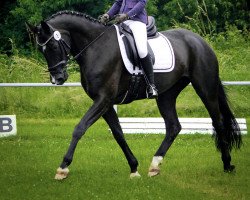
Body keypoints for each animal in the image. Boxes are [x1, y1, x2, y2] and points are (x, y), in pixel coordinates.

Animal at [26, 10, 241, 180]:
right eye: (41, 50)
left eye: (53, 47)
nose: (57, 79)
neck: (96, 46)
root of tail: (200, 41)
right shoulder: (105, 102)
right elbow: (118, 134)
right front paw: (134, 168)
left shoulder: (103, 99)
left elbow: (79, 128)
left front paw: (63, 168)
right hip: (166, 95)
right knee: (174, 127)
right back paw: (154, 165)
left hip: (205, 87)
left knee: (218, 122)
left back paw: (227, 164)